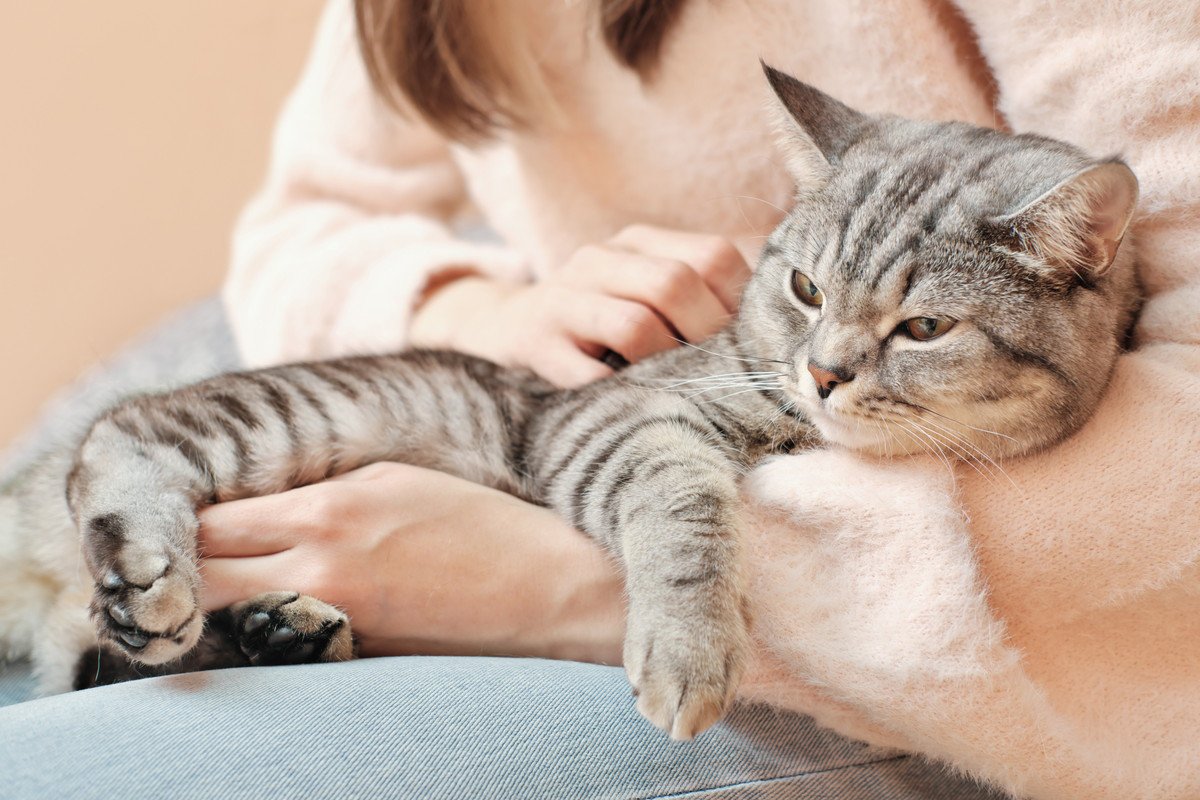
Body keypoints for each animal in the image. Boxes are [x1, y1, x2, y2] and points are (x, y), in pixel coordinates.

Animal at [0, 65, 1132, 743]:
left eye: (924, 328)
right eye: (808, 288)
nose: (823, 372)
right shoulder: (605, 423)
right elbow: (687, 509)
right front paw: (689, 648)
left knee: (97, 656)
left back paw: (279, 626)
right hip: (308, 412)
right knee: (125, 437)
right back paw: (157, 577)